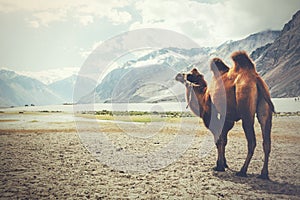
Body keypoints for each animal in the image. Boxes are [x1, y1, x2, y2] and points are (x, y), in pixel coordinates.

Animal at [176, 50, 274, 179]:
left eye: (188, 74)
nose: (178, 75)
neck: (204, 95)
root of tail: (256, 79)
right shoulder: (227, 118)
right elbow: (224, 139)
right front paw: (224, 164)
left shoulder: (210, 116)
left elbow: (218, 139)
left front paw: (219, 166)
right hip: (265, 107)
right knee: (266, 140)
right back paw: (264, 174)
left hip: (245, 108)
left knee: (252, 141)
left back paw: (242, 171)